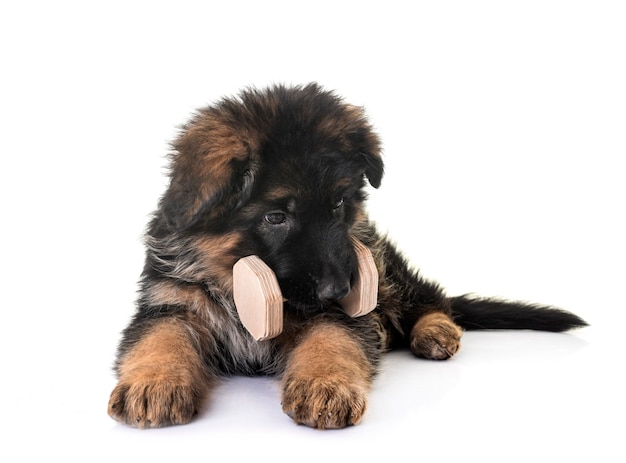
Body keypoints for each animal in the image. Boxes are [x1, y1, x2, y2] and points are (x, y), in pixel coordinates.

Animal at [108, 83, 584, 432]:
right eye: (276, 216)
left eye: (338, 204)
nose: (339, 289)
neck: (231, 279)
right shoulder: (171, 301)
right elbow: (159, 337)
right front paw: (153, 382)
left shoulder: (346, 313)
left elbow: (332, 339)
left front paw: (325, 384)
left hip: (385, 270)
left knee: (430, 297)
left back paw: (436, 330)